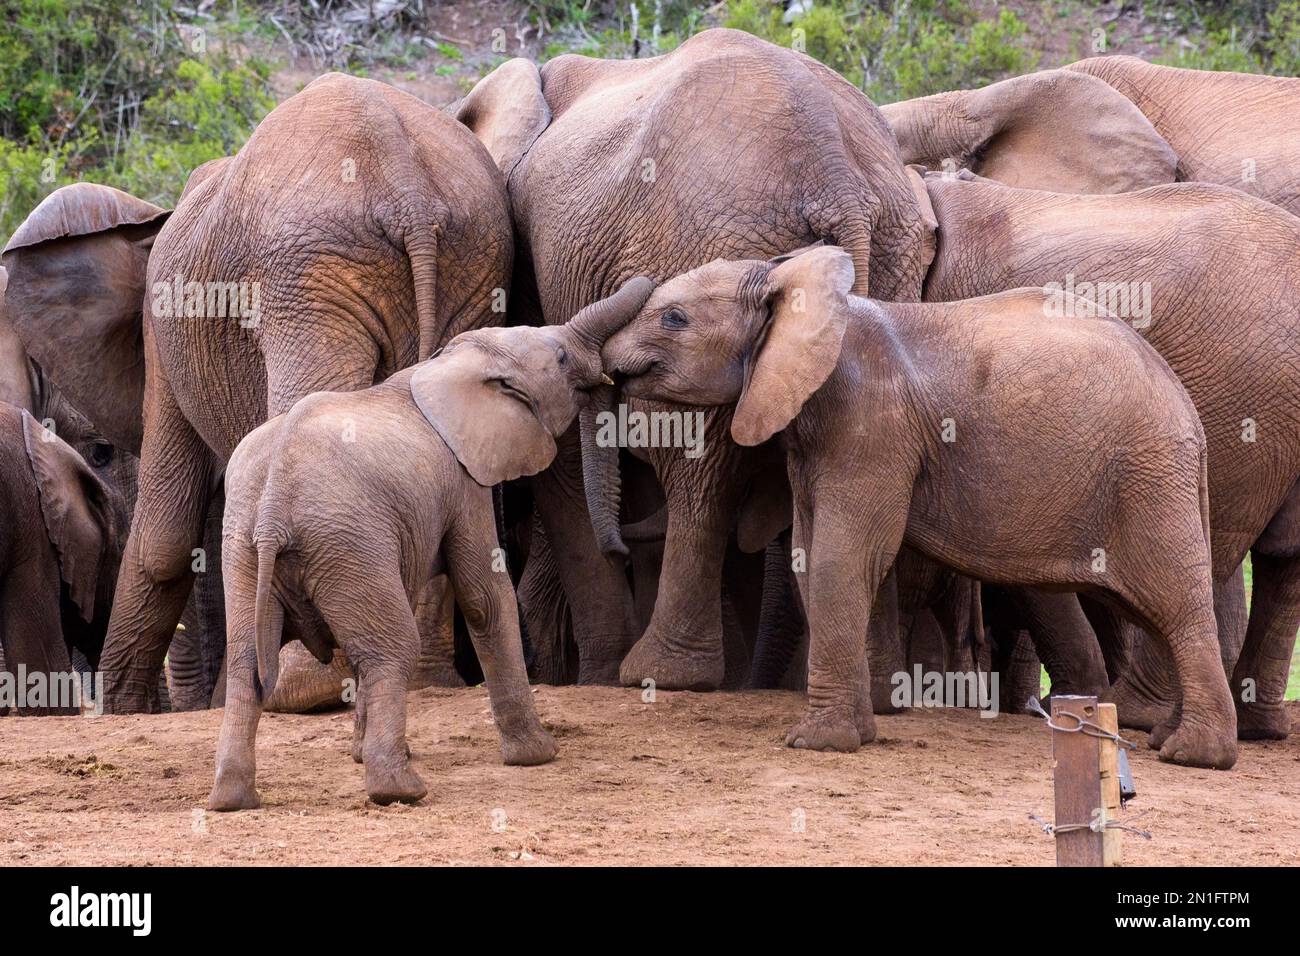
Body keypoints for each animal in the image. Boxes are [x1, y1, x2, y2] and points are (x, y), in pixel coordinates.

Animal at [5, 74, 512, 712]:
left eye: (98, 451)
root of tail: (410, 191)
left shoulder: (161, 321)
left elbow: (165, 535)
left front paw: (124, 708)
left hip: (311, 281)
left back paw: (301, 687)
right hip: (469, 268)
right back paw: (424, 679)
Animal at [209, 277, 655, 806]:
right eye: (562, 357)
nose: (621, 550)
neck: (449, 366)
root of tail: (275, 502)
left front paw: (357, 753)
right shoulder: (464, 479)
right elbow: (486, 597)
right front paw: (540, 755)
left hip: (244, 546)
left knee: (247, 664)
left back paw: (232, 801)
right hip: (345, 542)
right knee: (391, 650)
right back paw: (400, 791)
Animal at [457, 27, 935, 686]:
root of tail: (838, 180)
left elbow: (563, 455)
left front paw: (598, 676)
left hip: (706, 240)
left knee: (696, 465)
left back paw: (660, 674)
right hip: (893, 258)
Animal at [605, 244, 1237, 770]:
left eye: (674, 318)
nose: (608, 364)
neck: (800, 290)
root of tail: (1188, 410)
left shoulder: (869, 424)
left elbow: (843, 556)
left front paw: (818, 744)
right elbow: (811, 555)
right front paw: (857, 734)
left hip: (1148, 475)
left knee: (1174, 605)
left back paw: (1194, 756)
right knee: (1151, 611)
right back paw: (1166, 739)